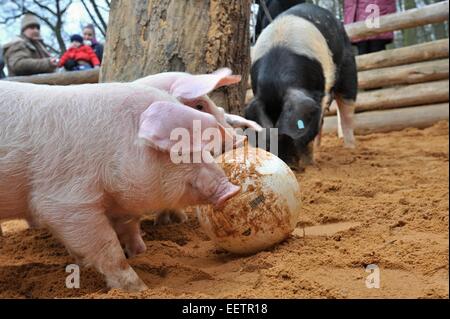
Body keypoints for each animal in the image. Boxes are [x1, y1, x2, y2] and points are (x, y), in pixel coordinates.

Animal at [244, 2, 356, 170]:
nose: (290, 165)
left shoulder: (320, 92)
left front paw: (310, 165)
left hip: (348, 68)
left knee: (347, 112)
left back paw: (351, 149)